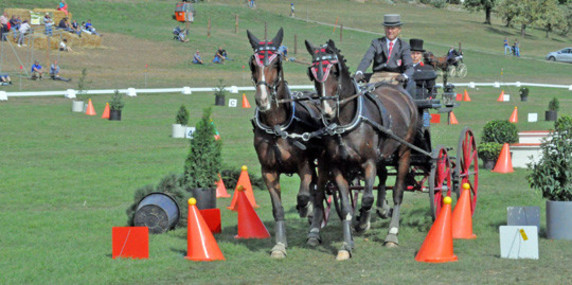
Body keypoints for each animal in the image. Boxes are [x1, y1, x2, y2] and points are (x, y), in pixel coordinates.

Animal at [248, 28, 324, 258]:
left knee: (317, 192)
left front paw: (305, 210)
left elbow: (304, 195)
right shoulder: (268, 171)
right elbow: (278, 209)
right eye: (252, 63)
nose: (262, 100)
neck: (277, 127)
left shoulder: (305, 166)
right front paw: (280, 245)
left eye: (277, 62)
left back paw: (314, 230)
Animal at [306, 39, 418, 260]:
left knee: (397, 192)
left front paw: (363, 222)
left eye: (335, 71)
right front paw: (347, 245)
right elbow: (346, 206)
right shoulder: (337, 167)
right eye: (312, 73)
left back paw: (391, 233)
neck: (346, 123)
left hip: (404, 152)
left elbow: (367, 198)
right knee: (383, 177)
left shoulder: (368, 162)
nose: (328, 111)